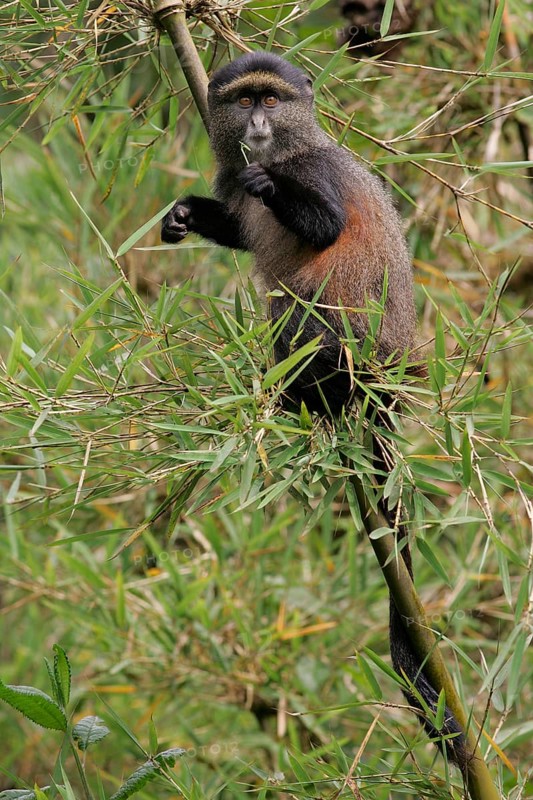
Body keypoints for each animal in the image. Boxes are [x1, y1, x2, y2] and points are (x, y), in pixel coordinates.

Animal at [161, 50, 468, 773]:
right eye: (243, 101)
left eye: (272, 100)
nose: (258, 127)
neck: (290, 146)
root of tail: (382, 383)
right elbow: (237, 228)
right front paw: (182, 214)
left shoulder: (313, 172)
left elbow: (324, 224)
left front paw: (266, 185)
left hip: (343, 351)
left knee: (294, 310)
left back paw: (292, 397)